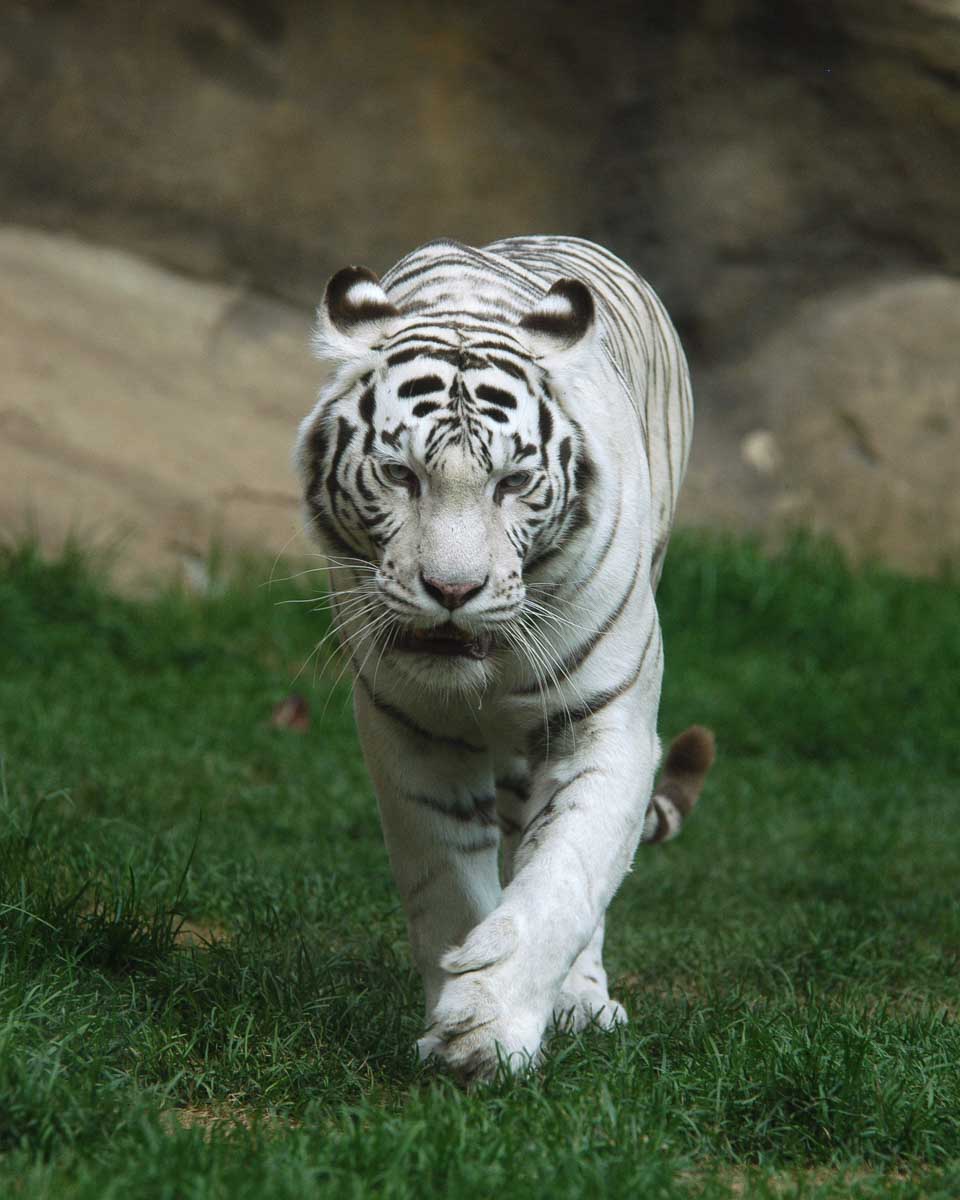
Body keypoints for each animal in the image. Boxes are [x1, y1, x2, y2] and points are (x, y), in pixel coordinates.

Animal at [294, 236, 714, 1082]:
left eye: (513, 482)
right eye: (401, 474)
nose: (453, 590)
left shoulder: (607, 722)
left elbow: (567, 875)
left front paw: (489, 1029)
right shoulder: (405, 727)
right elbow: (445, 877)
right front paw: (457, 1019)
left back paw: (583, 1002)